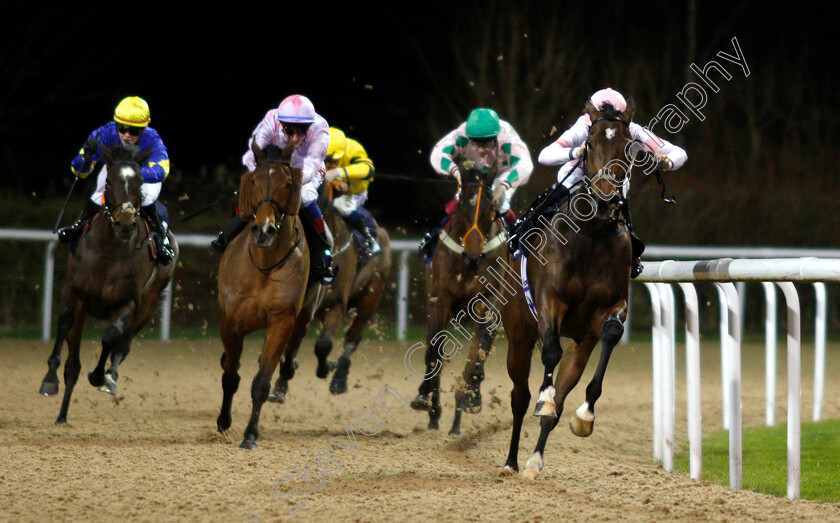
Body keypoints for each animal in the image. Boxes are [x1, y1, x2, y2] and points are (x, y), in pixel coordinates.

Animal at [38, 143, 180, 426]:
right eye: (110, 182)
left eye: (139, 183)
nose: (125, 224)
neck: (110, 252)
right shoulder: (74, 293)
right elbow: (64, 324)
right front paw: (49, 379)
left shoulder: (129, 302)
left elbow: (111, 336)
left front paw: (99, 375)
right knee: (73, 364)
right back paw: (62, 415)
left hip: (148, 304)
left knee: (123, 343)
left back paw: (109, 376)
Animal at [217, 142, 328, 450]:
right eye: (254, 180)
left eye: (288, 182)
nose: (264, 230)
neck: (264, 265)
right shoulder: (231, 321)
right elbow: (230, 376)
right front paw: (223, 422)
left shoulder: (282, 320)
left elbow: (261, 382)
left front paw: (250, 435)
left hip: (305, 315)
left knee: (290, 355)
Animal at [270, 182, 396, 400]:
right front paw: (281, 383)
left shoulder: (337, 303)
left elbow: (324, 344)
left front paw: (325, 368)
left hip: (372, 293)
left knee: (353, 337)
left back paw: (339, 379)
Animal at [406, 161, 506, 438]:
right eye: (462, 205)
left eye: (490, 209)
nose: (472, 256)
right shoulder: (440, 298)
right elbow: (434, 349)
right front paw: (426, 400)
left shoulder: (488, 300)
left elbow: (479, 352)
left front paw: (469, 399)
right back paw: (434, 413)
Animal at [502, 98, 648, 478]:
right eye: (590, 144)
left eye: (628, 147)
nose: (608, 196)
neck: (592, 233)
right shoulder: (550, 302)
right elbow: (550, 354)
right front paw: (545, 399)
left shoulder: (609, 309)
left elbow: (611, 334)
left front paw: (585, 416)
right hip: (518, 332)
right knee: (520, 396)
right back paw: (511, 461)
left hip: (580, 343)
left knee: (559, 399)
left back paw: (535, 461)